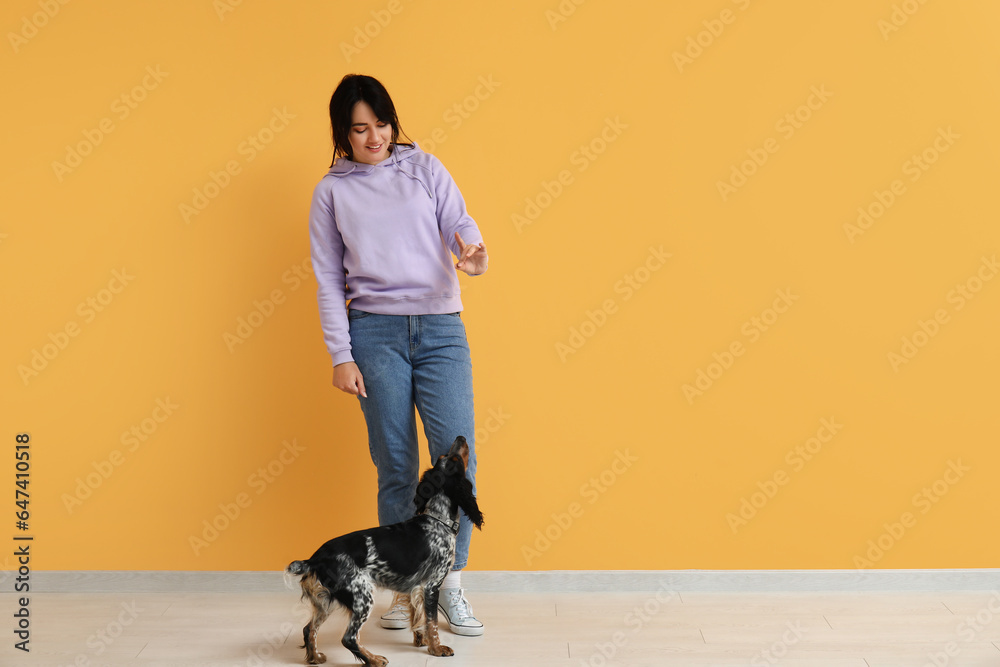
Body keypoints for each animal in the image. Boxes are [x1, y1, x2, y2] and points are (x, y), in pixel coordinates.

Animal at [286, 436, 484, 664]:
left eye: (445, 456)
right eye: (455, 459)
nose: (461, 438)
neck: (437, 519)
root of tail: (316, 559)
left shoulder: (415, 588)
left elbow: (418, 618)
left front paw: (421, 641)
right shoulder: (431, 585)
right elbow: (432, 622)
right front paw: (436, 649)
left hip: (327, 601)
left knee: (309, 629)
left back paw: (315, 658)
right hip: (362, 596)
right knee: (349, 638)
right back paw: (374, 659)